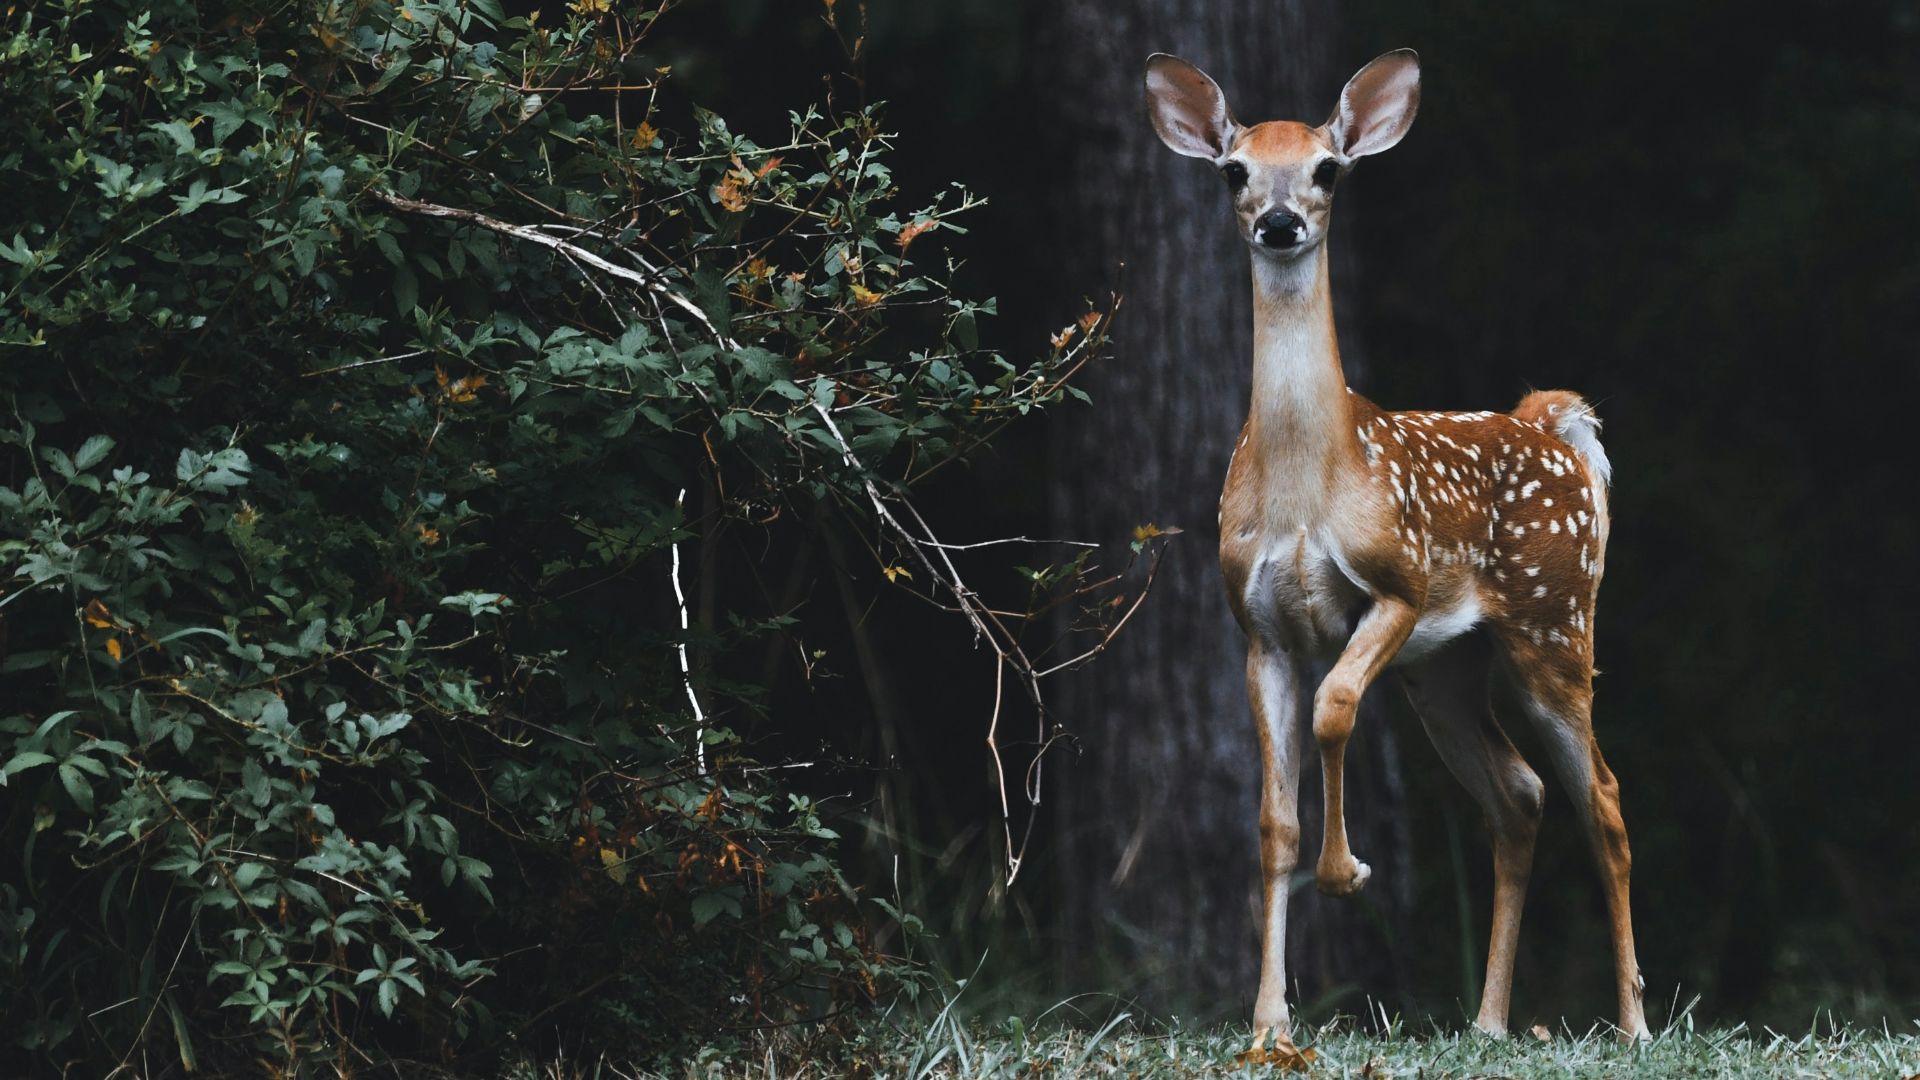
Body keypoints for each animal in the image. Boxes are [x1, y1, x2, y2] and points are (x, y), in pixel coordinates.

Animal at [1142, 49, 1649, 1048]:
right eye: (1234, 172)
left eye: (1329, 169)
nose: (1282, 222)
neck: (1309, 485)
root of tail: (1554, 426)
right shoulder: (1257, 629)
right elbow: (1273, 821)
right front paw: (1270, 1022)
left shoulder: (1397, 585)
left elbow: (1336, 708)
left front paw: (1348, 873)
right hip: (1447, 668)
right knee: (1519, 794)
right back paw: (1488, 1023)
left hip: (1555, 624)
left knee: (1603, 799)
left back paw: (1635, 1024)